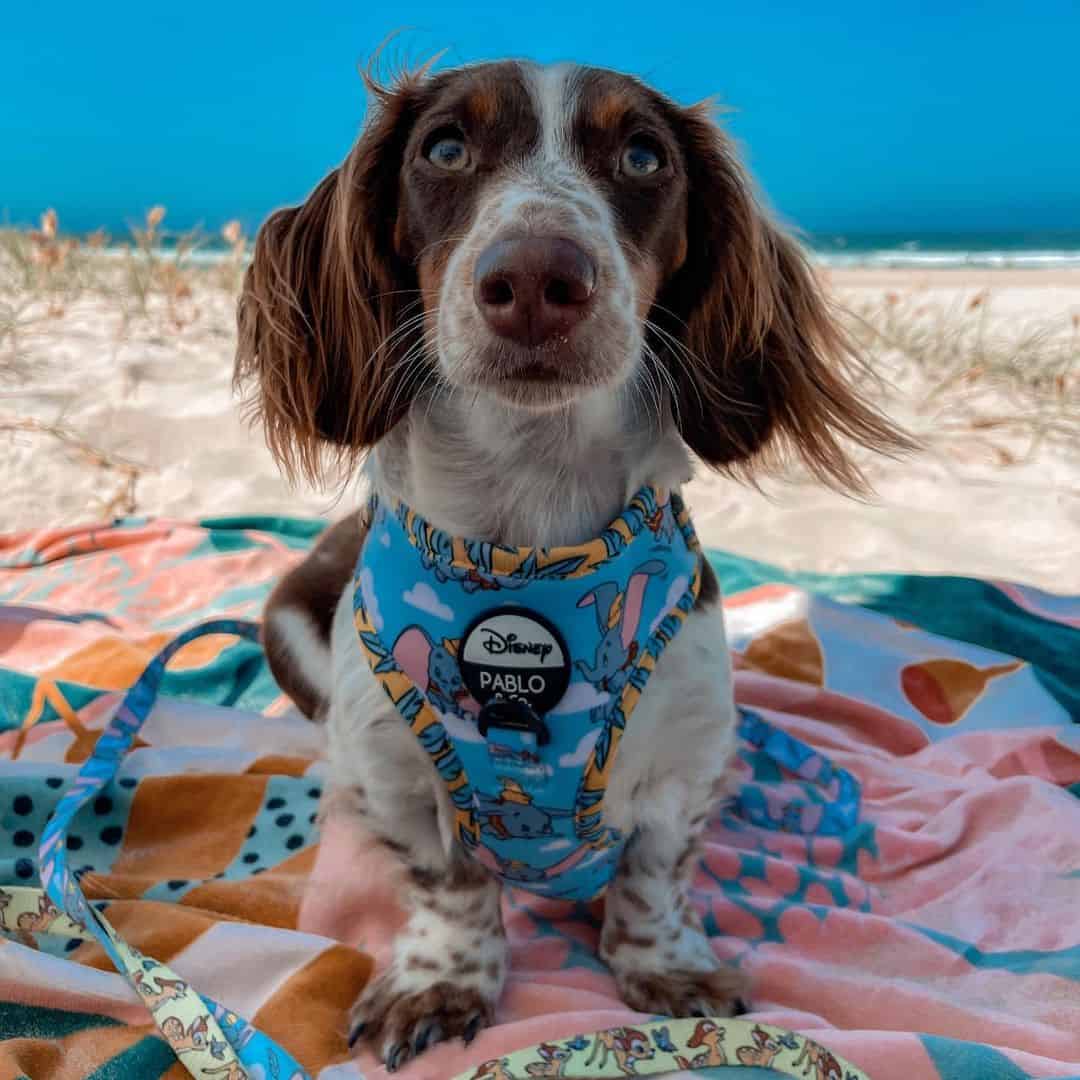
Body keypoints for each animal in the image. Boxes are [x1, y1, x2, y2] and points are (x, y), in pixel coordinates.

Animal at [236, 54, 911, 1067]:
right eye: (444, 148)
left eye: (643, 156)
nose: (535, 276)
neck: (531, 545)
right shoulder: (396, 774)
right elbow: (448, 880)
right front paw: (441, 980)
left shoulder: (689, 756)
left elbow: (653, 873)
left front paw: (664, 965)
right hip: (287, 618)